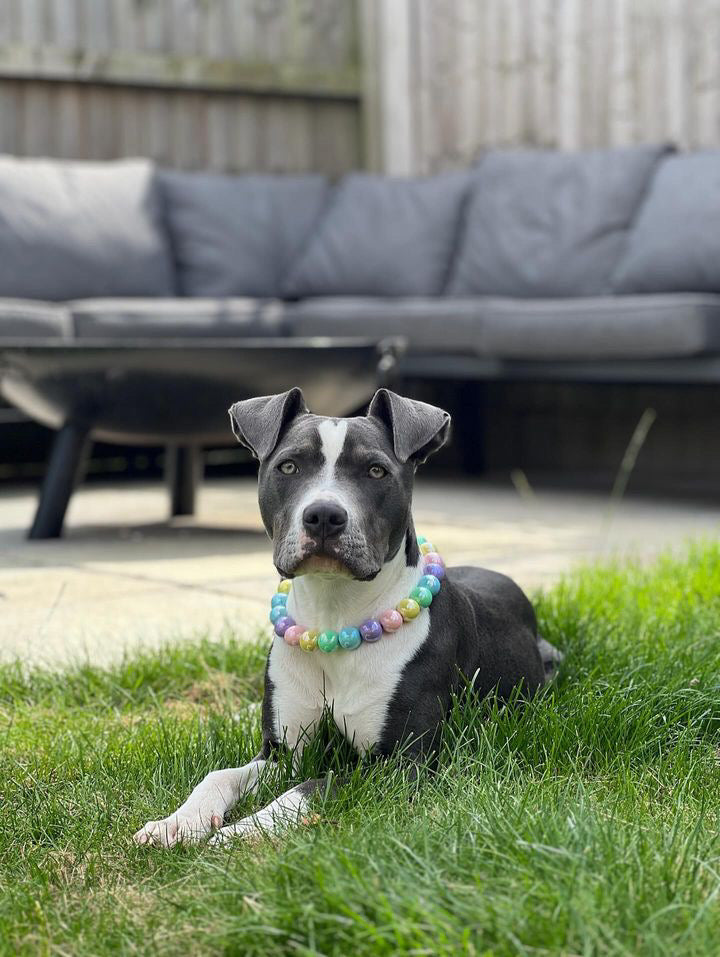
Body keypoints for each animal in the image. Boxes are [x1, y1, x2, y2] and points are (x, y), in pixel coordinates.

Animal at [136, 388, 564, 844]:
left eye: (376, 471)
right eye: (289, 466)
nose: (324, 515)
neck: (334, 617)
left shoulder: (399, 764)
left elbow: (309, 787)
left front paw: (239, 833)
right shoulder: (282, 752)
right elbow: (219, 776)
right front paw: (178, 822)